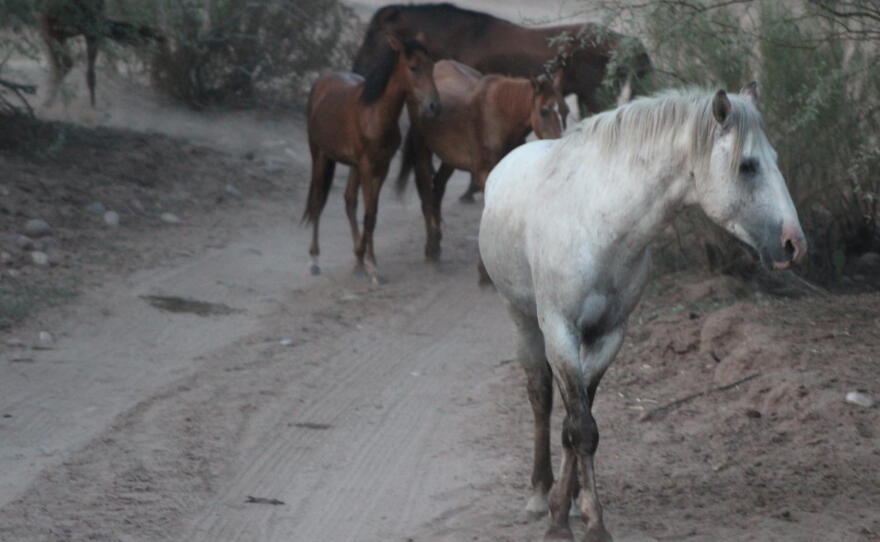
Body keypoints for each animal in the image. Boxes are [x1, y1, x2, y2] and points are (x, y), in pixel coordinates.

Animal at [302, 34, 440, 285]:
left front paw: (365, 260)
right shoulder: (367, 166)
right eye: (413, 67)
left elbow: (371, 214)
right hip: (320, 155)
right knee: (317, 201)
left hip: (353, 166)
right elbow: (369, 213)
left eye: (432, 65)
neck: (375, 113)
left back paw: (357, 259)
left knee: (349, 200)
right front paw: (372, 266)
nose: (434, 106)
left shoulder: (381, 166)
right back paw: (314, 260)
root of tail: (320, 82)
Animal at [396, 59, 563, 259]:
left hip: (450, 158)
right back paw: (431, 249)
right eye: (544, 111)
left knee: (438, 188)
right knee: (426, 192)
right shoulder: (485, 174)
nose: (557, 143)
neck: (500, 114)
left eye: (564, 111)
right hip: (421, 148)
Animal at [478, 84, 806, 542]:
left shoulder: (609, 334)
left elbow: (581, 427)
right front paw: (568, 523)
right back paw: (539, 494)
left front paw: (580, 512)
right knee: (540, 399)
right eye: (748, 166)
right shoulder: (560, 330)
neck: (600, 223)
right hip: (522, 319)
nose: (794, 243)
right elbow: (578, 425)